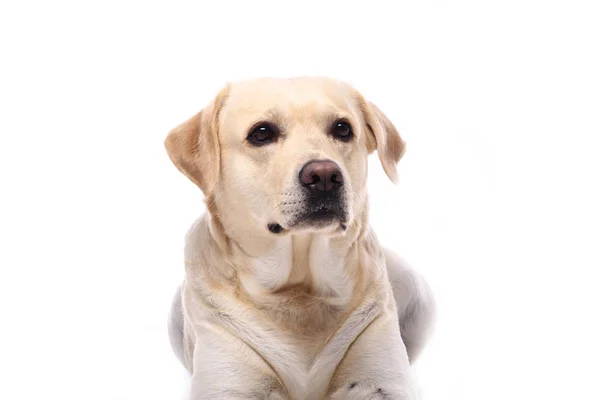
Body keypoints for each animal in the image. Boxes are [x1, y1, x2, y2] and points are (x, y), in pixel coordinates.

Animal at [165, 76, 436, 398]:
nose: (324, 176)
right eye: (261, 133)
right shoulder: (229, 384)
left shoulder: (381, 380)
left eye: (343, 128)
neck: (301, 289)